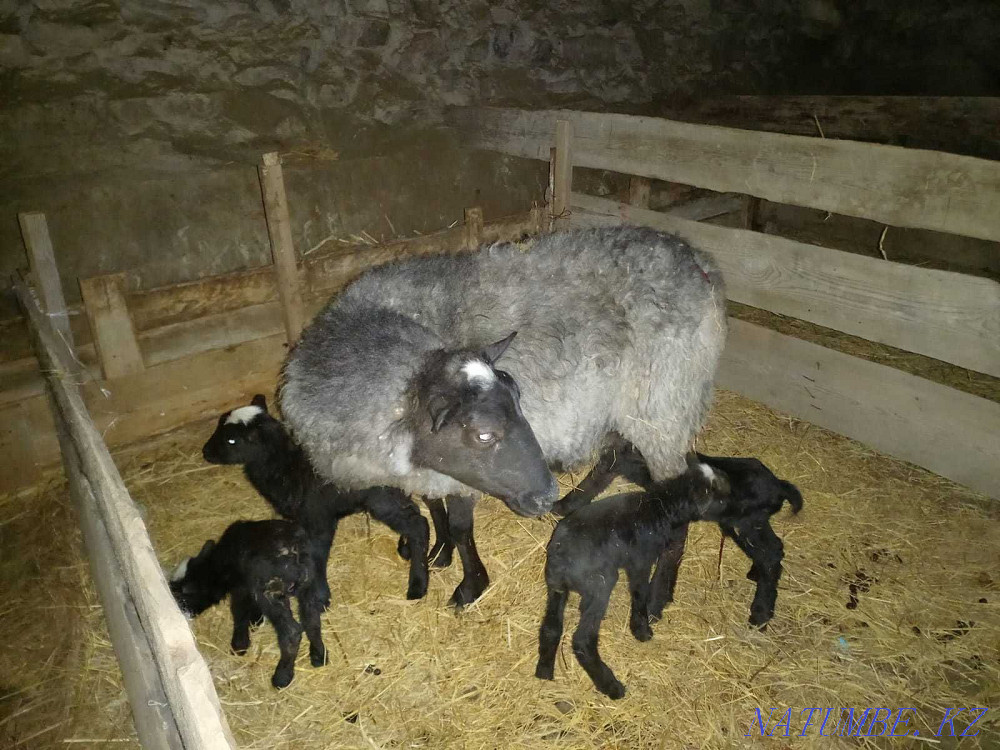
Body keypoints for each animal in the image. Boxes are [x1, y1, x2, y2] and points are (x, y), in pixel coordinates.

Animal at [169, 519, 327, 689]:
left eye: (182, 596)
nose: (184, 614)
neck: (219, 563)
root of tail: (295, 552)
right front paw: (256, 621)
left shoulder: (241, 588)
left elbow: (240, 613)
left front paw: (239, 646)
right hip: (308, 584)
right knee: (312, 619)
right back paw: (319, 655)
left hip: (270, 591)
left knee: (291, 632)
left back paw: (282, 677)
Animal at [202, 395, 431, 607]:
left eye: (232, 440)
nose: (205, 452)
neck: (285, 466)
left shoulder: (319, 518)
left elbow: (317, 555)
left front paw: (320, 596)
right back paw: (406, 551)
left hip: (382, 499)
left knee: (418, 525)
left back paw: (417, 584)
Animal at [280, 225, 727, 606]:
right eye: (483, 434)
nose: (543, 494)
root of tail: (699, 261)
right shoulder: (431, 468)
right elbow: (435, 507)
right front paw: (440, 552)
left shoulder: (457, 473)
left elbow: (461, 526)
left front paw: (470, 585)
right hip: (623, 403)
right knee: (614, 453)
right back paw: (569, 503)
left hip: (664, 405)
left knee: (675, 496)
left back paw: (658, 596)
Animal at [535, 453, 802, 699]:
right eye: (719, 496)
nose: (737, 504)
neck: (661, 504)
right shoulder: (640, 560)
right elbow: (640, 592)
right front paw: (642, 629)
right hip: (599, 585)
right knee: (582, 639)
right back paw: (611, 686)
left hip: (556, 588)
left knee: (551, 627)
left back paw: (544, 672)